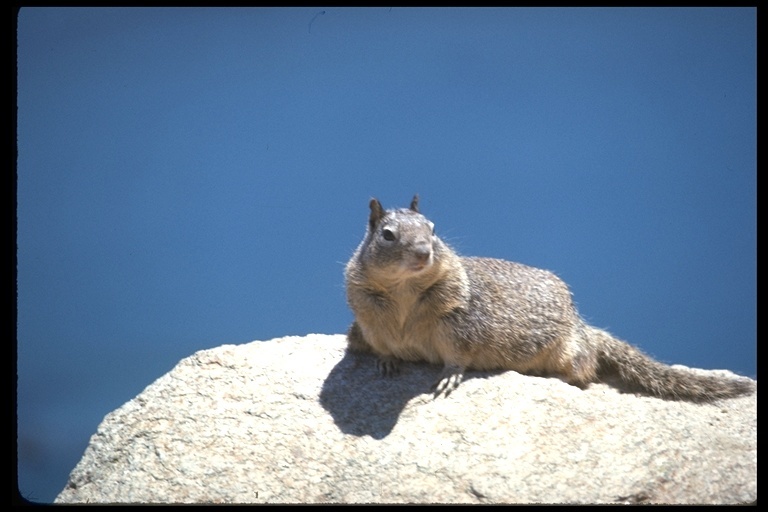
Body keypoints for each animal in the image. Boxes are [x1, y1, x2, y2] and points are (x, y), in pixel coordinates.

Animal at [346, 196, 756, 400]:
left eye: (433, 228)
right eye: (387, 235)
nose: (423, 252)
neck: (404, 292)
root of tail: (582, 326)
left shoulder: (459, 321)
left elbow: (458, 355)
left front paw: (449, 376)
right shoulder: (367, 320)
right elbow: (377, 344)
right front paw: (385, 361)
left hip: (570, 352)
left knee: (587, 371)